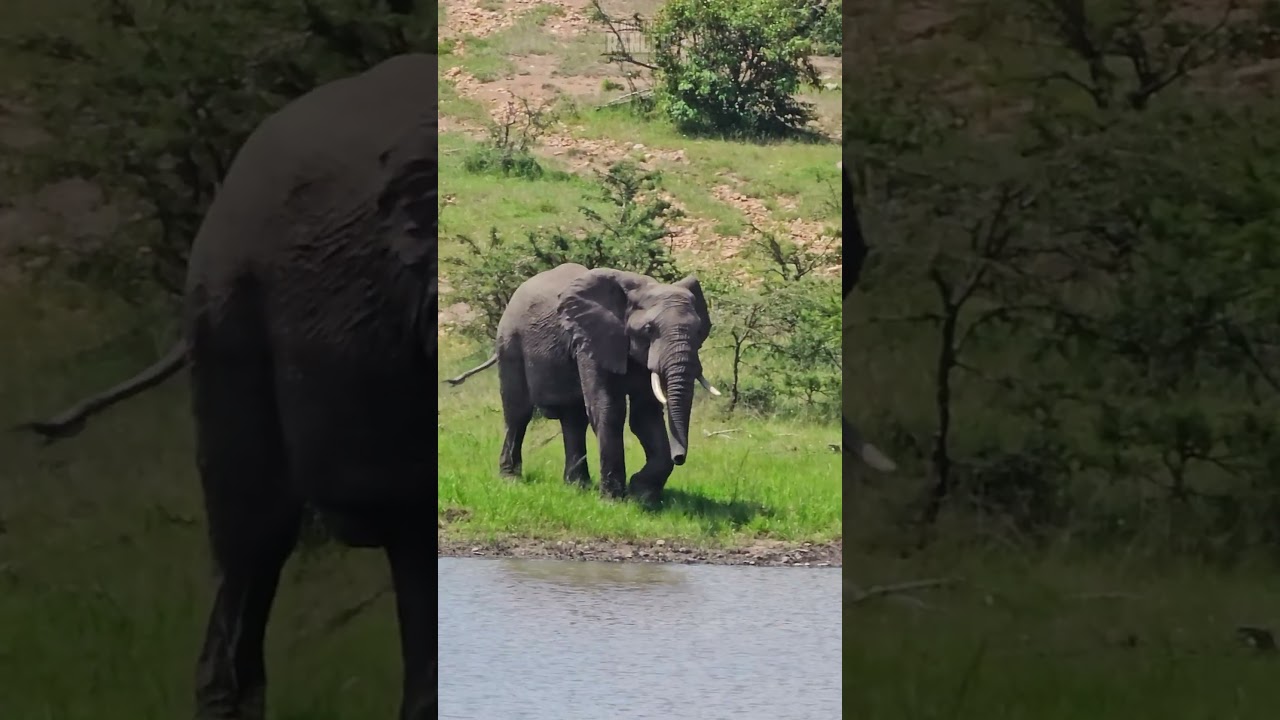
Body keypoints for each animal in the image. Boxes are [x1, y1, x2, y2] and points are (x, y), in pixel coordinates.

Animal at [445, 263, 720, 503]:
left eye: (699, 331)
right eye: (649, 329)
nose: (679, 457)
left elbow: (645, 416)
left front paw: (641, 494)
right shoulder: (590, 340)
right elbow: (608, 410)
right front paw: (614, 501)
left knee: (573, 419)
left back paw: (577, 486)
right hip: (509, 341)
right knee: (518, 413)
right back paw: (511, 479)